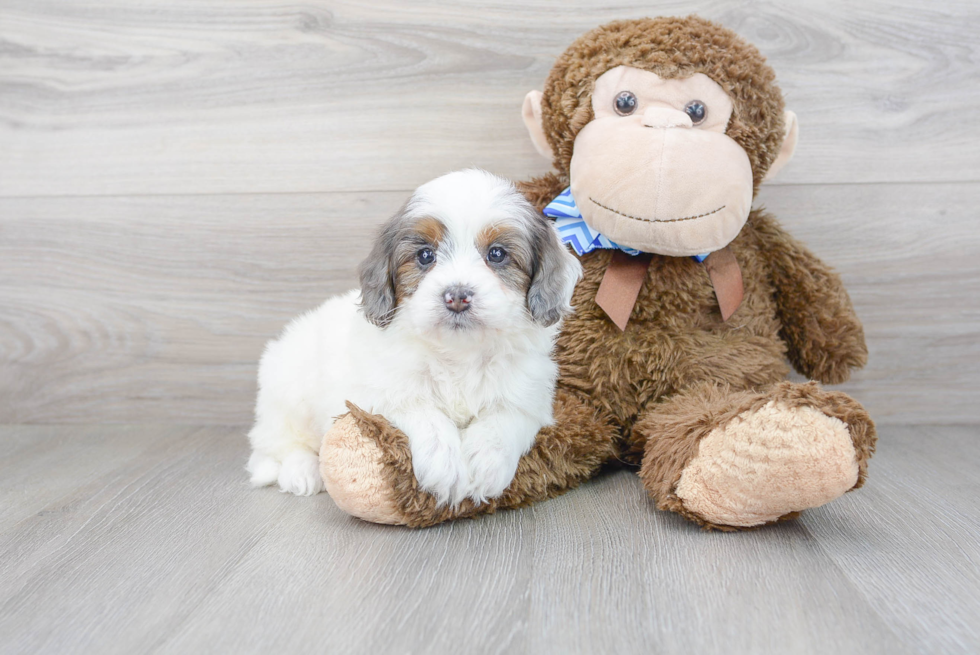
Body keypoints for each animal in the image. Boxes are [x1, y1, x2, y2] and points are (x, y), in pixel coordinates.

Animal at [247, 170, 580, 508]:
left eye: (497, 254)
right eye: (425, 256)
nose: (457, 296)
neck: (460, 354)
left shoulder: (528, 395)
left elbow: (505, 417)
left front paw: (487, 463)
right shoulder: (378, 392)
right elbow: (421, 411)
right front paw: (444, 465)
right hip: (288, 395)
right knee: (275, 445)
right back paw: (301, 472)